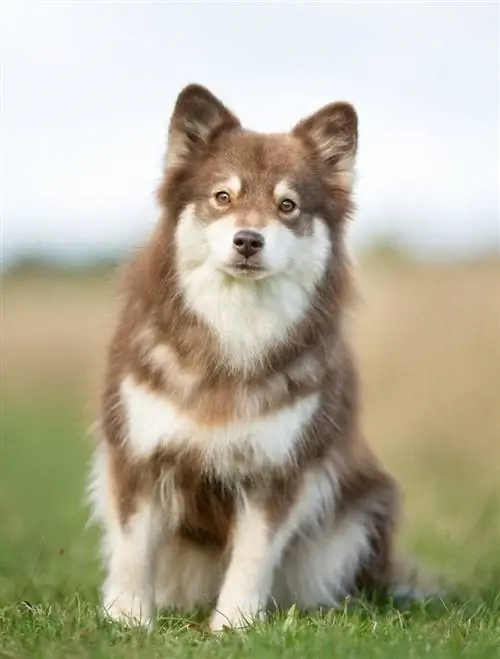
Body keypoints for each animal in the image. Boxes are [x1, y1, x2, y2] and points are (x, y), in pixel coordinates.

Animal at [90, 84, 410, 636]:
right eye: (223, 197)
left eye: (287, 205)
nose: (248, 240)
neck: (235, 331)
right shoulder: (139, 453)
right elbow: (133, 549)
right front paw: (128, 620)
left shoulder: (278, 471)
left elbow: (253, 555)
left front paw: (234, 626)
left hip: (362, 510)